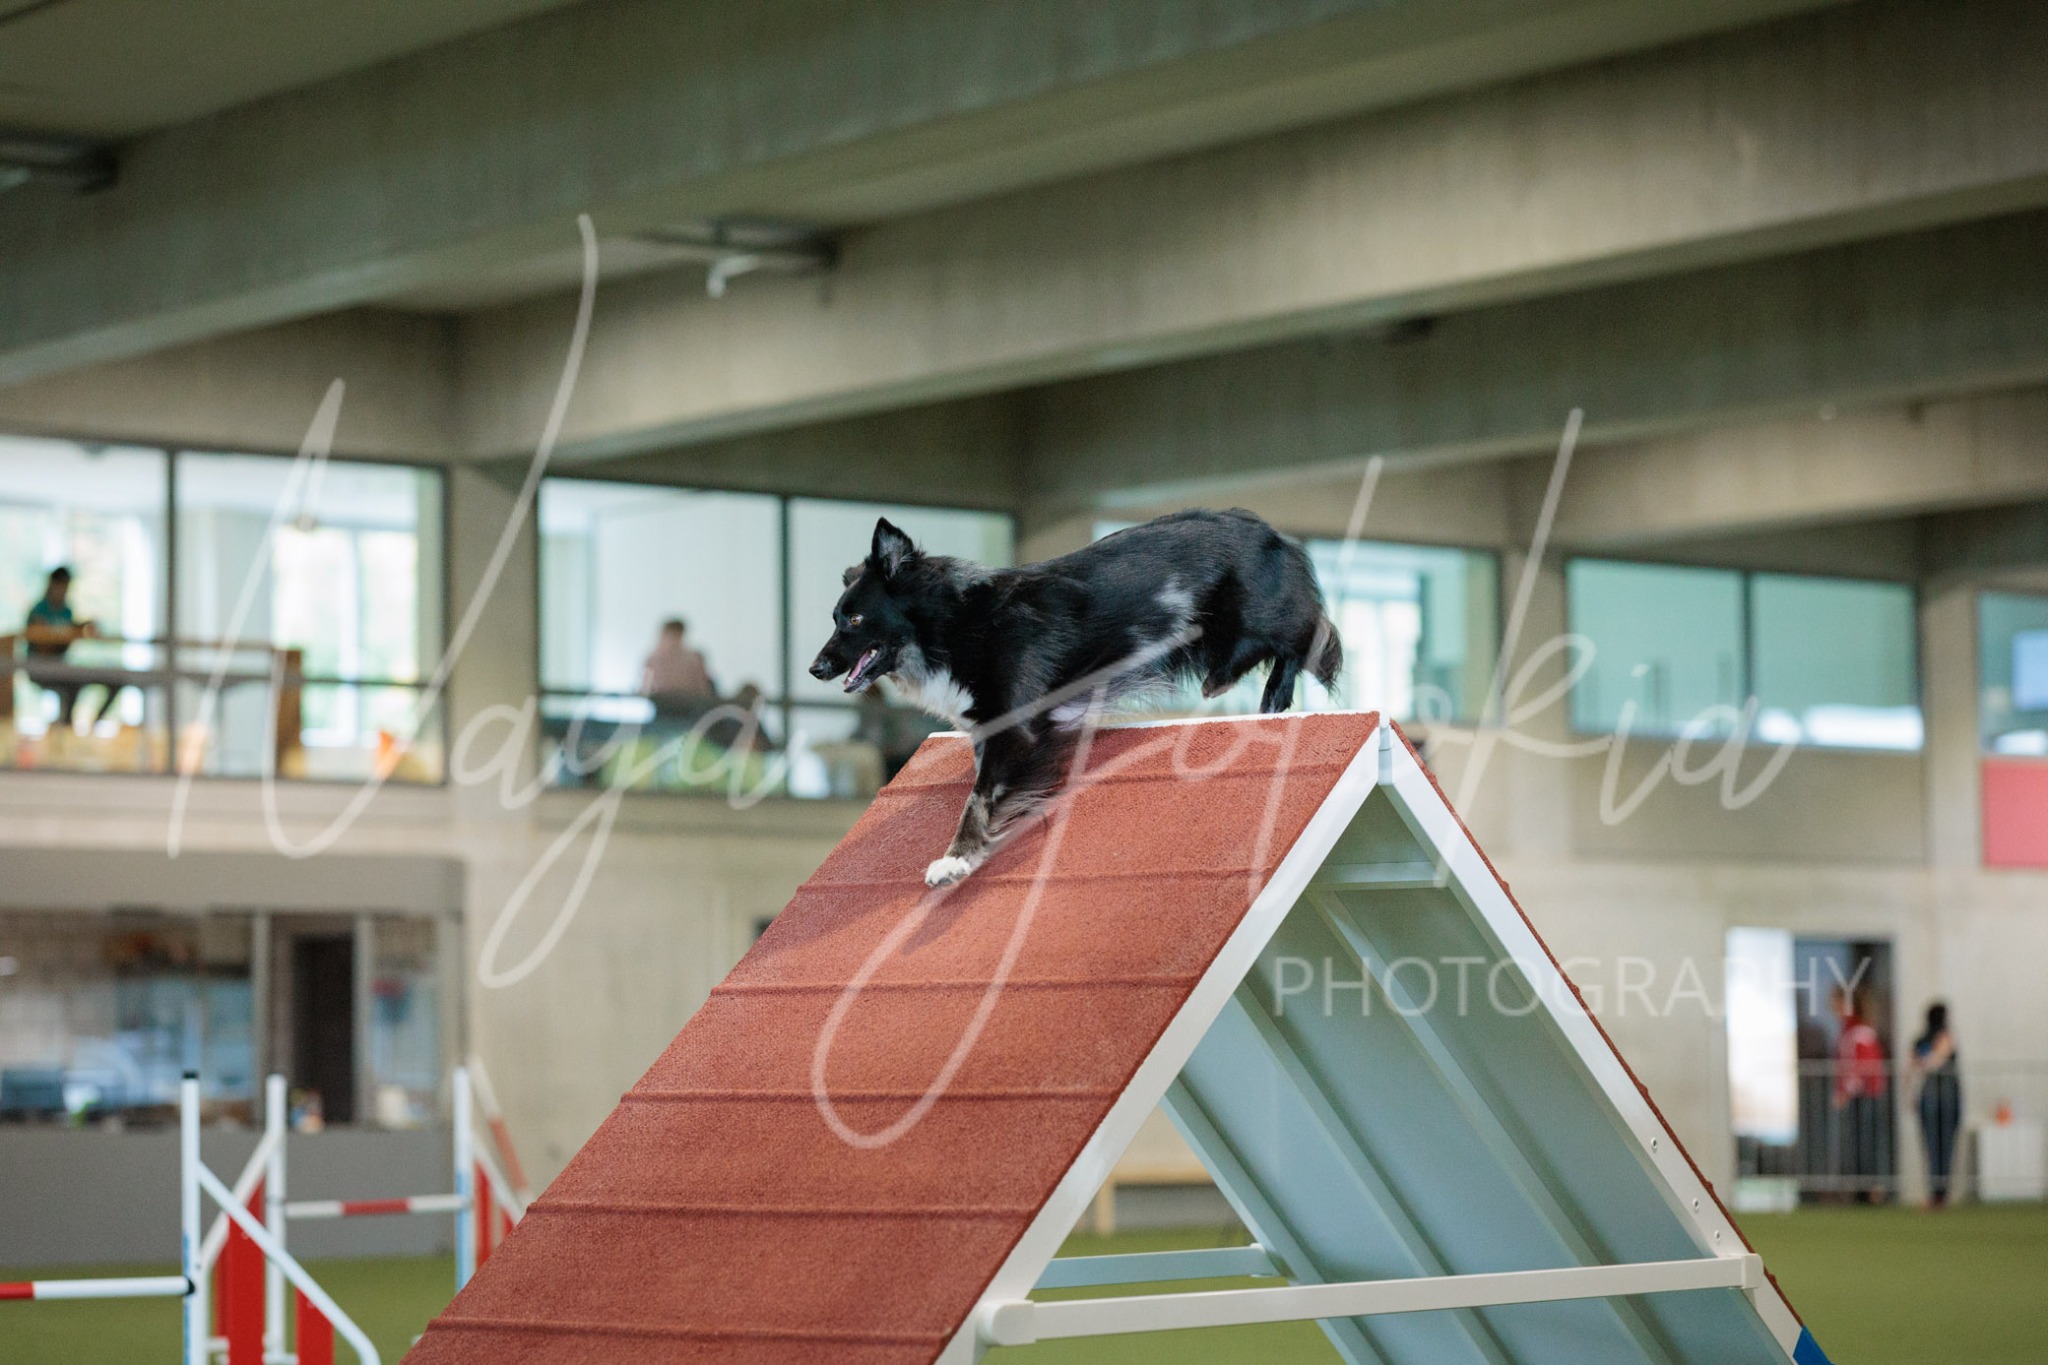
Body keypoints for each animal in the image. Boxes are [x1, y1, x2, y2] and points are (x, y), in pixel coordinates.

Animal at [807, 509, 1342, 887]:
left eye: (854, 619)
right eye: (834, 618)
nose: (816, 668)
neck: (953, 623)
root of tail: (1271, 531)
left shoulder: (1016, 728)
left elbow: (976, 799)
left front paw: (954, 861)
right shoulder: (988, 733)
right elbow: (985, 793)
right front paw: (979, 846)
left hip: (1244, 617)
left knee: (1302, 635)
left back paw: (1260, 691)